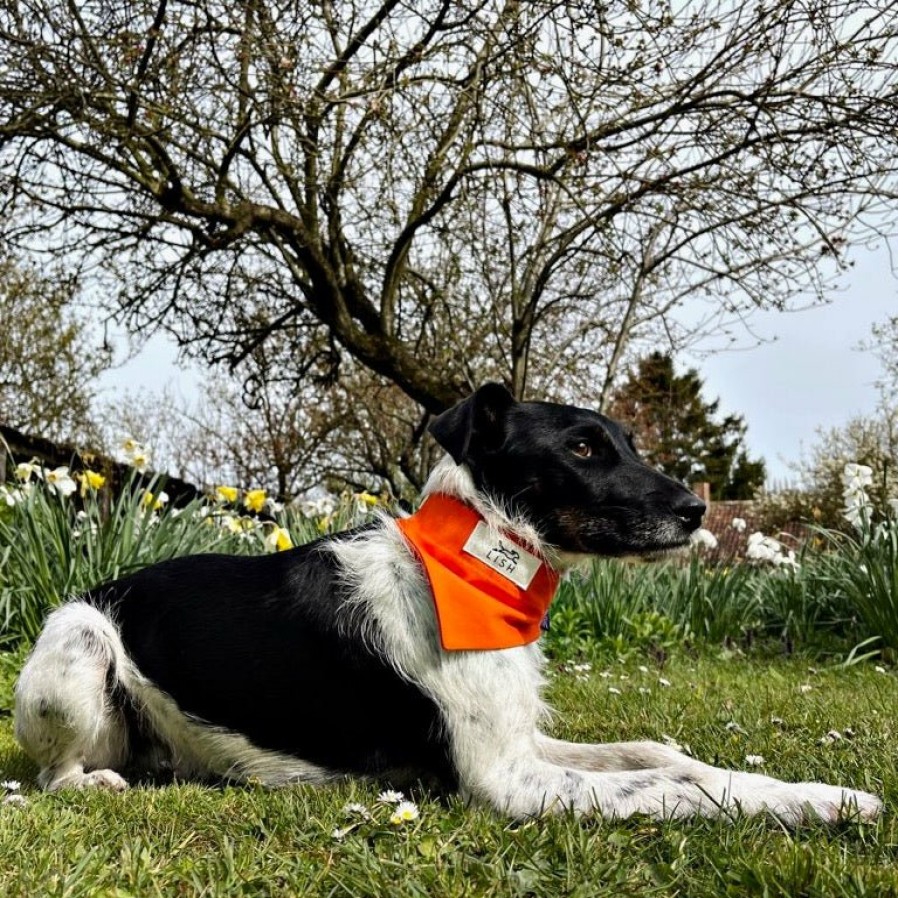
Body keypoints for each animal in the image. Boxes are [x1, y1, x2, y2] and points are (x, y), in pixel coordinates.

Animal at [14, 382, 880, 824]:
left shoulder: (521, 741)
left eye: (627, 442)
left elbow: (663, 756)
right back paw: (90, 784)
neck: (477, 560)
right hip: (79, 648)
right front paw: (826, 802)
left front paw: (809, 790)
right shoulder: (506, 780)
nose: (697, 511)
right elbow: (680, 789)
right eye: (582, 447)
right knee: (56, 774)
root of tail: (101, 587)